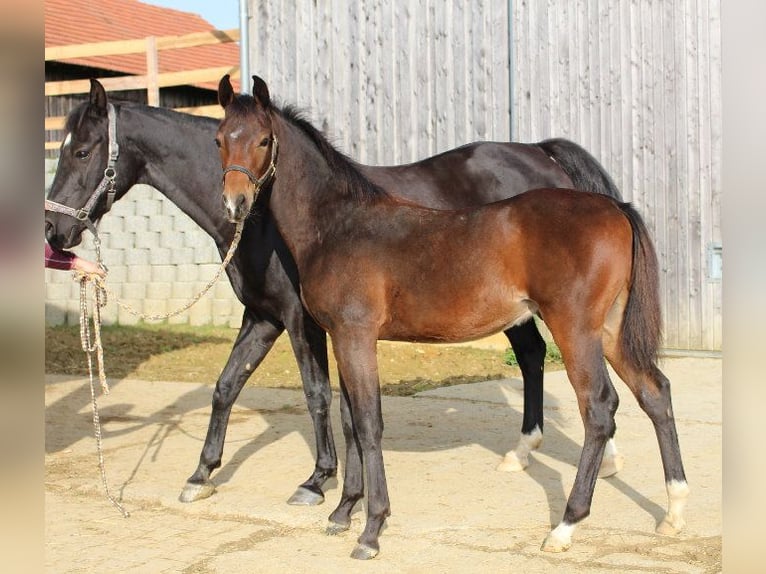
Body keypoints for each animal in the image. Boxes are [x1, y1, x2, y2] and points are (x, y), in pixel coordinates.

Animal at [45, 77, 628, 508]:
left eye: (82, 151)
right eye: (217, 143)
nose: (55, 232)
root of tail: (541, 154)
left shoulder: (300, 320)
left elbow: (318, 395)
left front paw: (318, 480)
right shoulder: (262, 317)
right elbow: (226, 385)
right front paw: (201, 473)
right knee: (534, 357)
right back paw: (528, 452)